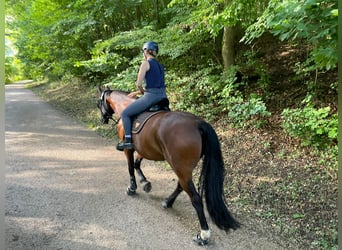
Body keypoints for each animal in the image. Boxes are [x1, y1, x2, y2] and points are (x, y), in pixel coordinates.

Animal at [97, 85, 240, 244]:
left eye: (98, 104)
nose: (103, 119)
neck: (125, 105)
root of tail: (198, 124)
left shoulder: (129, 148)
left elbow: (130, 167)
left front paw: (132, 188)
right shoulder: (145, 149)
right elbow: (136, 164)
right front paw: (145, 183)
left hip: (179, 167)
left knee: (195, 198)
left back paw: (203, 235)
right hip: (182, 168)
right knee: (181, 185)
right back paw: (168, 202)